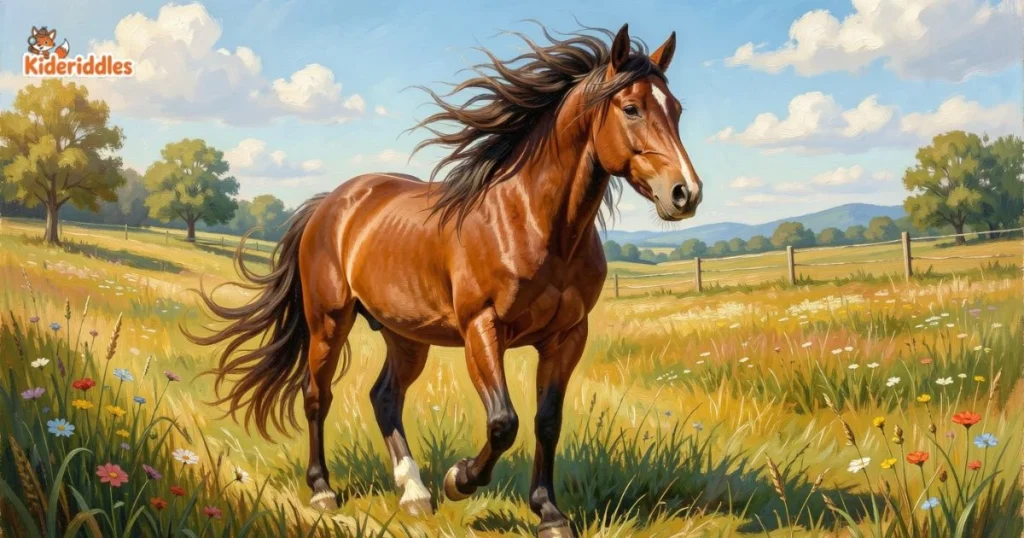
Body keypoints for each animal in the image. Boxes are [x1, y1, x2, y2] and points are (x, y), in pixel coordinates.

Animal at [188, 23, 701, 537]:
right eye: (631, 108)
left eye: (677, 109)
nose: (686, 193)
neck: (534, 223)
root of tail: (331, 203)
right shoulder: (482, 328)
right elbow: (504, 421)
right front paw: (461, 479)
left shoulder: (567, 336)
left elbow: (547, 422)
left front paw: (549, 513)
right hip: (329, 322)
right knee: (318, 395)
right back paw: (323, 490)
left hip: (406, 336)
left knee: (385, 397)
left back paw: (414, 493)